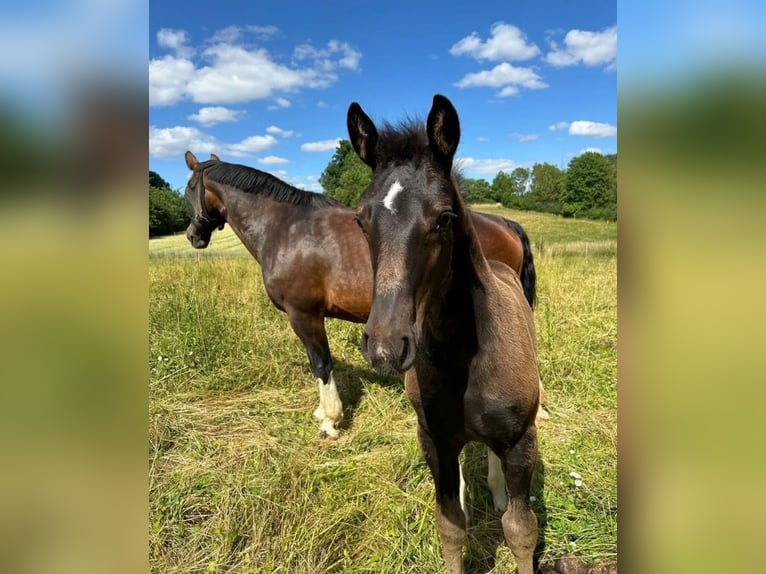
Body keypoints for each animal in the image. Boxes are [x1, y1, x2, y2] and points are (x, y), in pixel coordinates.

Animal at [183, 150, 543, 440]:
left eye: (188, 188)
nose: (192, 236)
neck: (285, 228)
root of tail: (505, 223)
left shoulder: (304, 315)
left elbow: (321, 364)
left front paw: (329, 421)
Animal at [348, 94, 540, 574]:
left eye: (444, 217)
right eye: (361, 220)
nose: (385, 346)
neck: (463, 357)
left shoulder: (520, 441)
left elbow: (520, 530)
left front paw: (506, 504)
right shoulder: (434, 442)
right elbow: (450, 525)